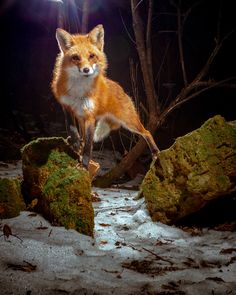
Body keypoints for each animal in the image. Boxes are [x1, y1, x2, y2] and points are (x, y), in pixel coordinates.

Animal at [51, 25, 159, 168]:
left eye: (92, 56)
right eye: (75, 57)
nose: (86, 70)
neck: (78, 90)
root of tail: (121, 89)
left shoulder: (89, 116)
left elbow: (88, 145)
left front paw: (84, 164)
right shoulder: (67, 107)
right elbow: (72, 128)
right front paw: (75, 143)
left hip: (129, 121)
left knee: (147, 132)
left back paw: (155, 152)